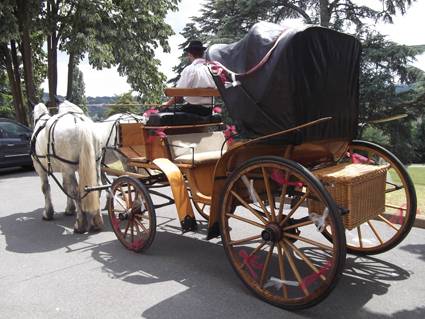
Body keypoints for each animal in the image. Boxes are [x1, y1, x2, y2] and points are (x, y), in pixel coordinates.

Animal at [31, 101, 103, 234]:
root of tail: (80, 124)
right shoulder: (65, 169)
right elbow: (66, 187)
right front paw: (70, 209)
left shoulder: (40, 167)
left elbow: (46, 188)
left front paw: (48, 213)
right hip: (96, 163)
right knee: (97, 187)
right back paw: (96, 221)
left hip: (68, 167)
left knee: (76, 191)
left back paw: (80, 224)